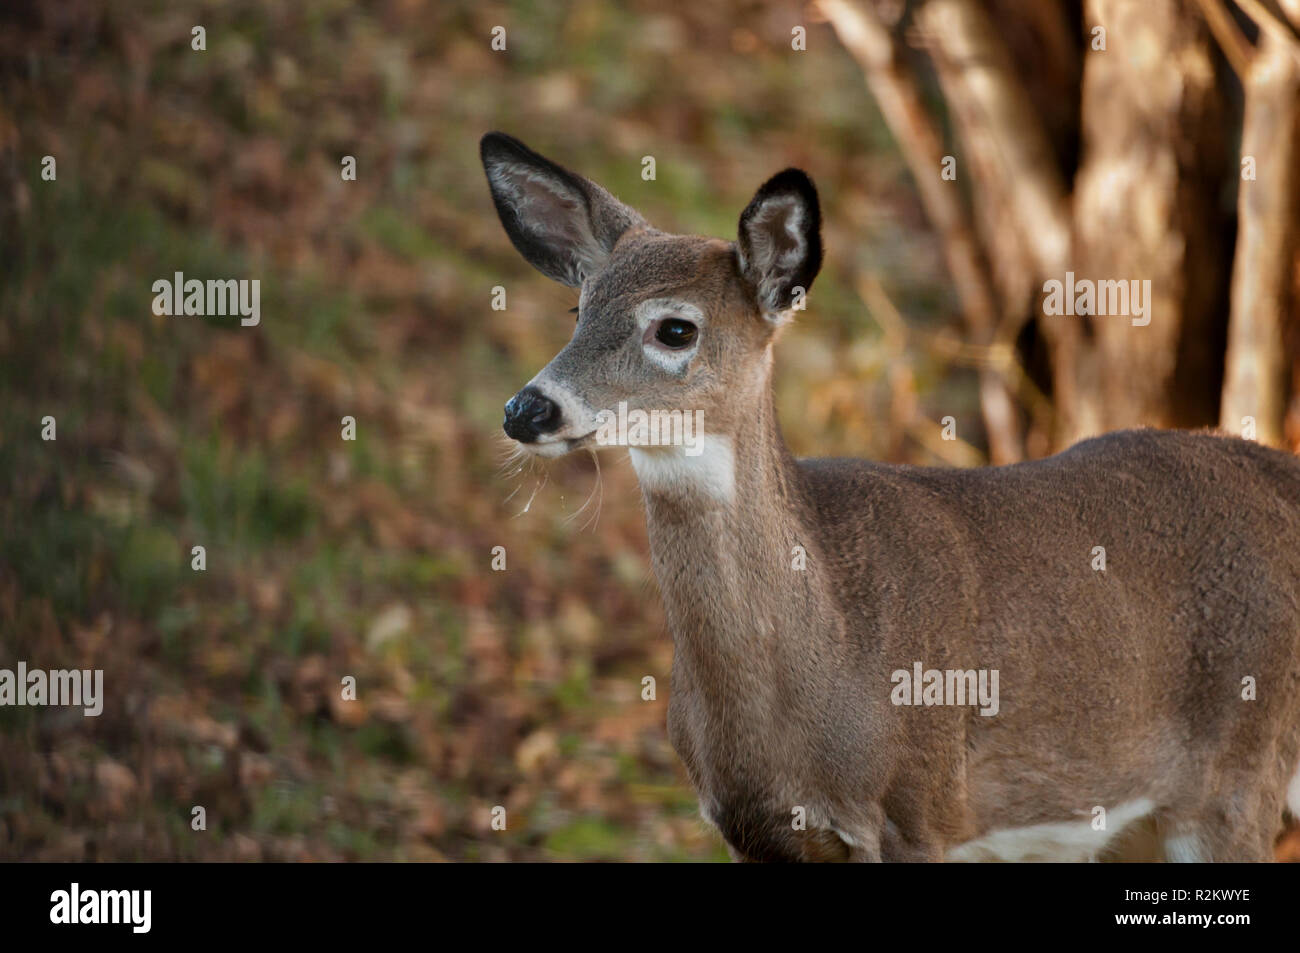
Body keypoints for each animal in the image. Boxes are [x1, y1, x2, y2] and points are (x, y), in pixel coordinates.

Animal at [480, 130, 1300, 858]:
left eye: (676, 329)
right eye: (578, 311)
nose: (525, 409)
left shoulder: (923, 805)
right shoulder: (756, 831)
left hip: (1237, 773)